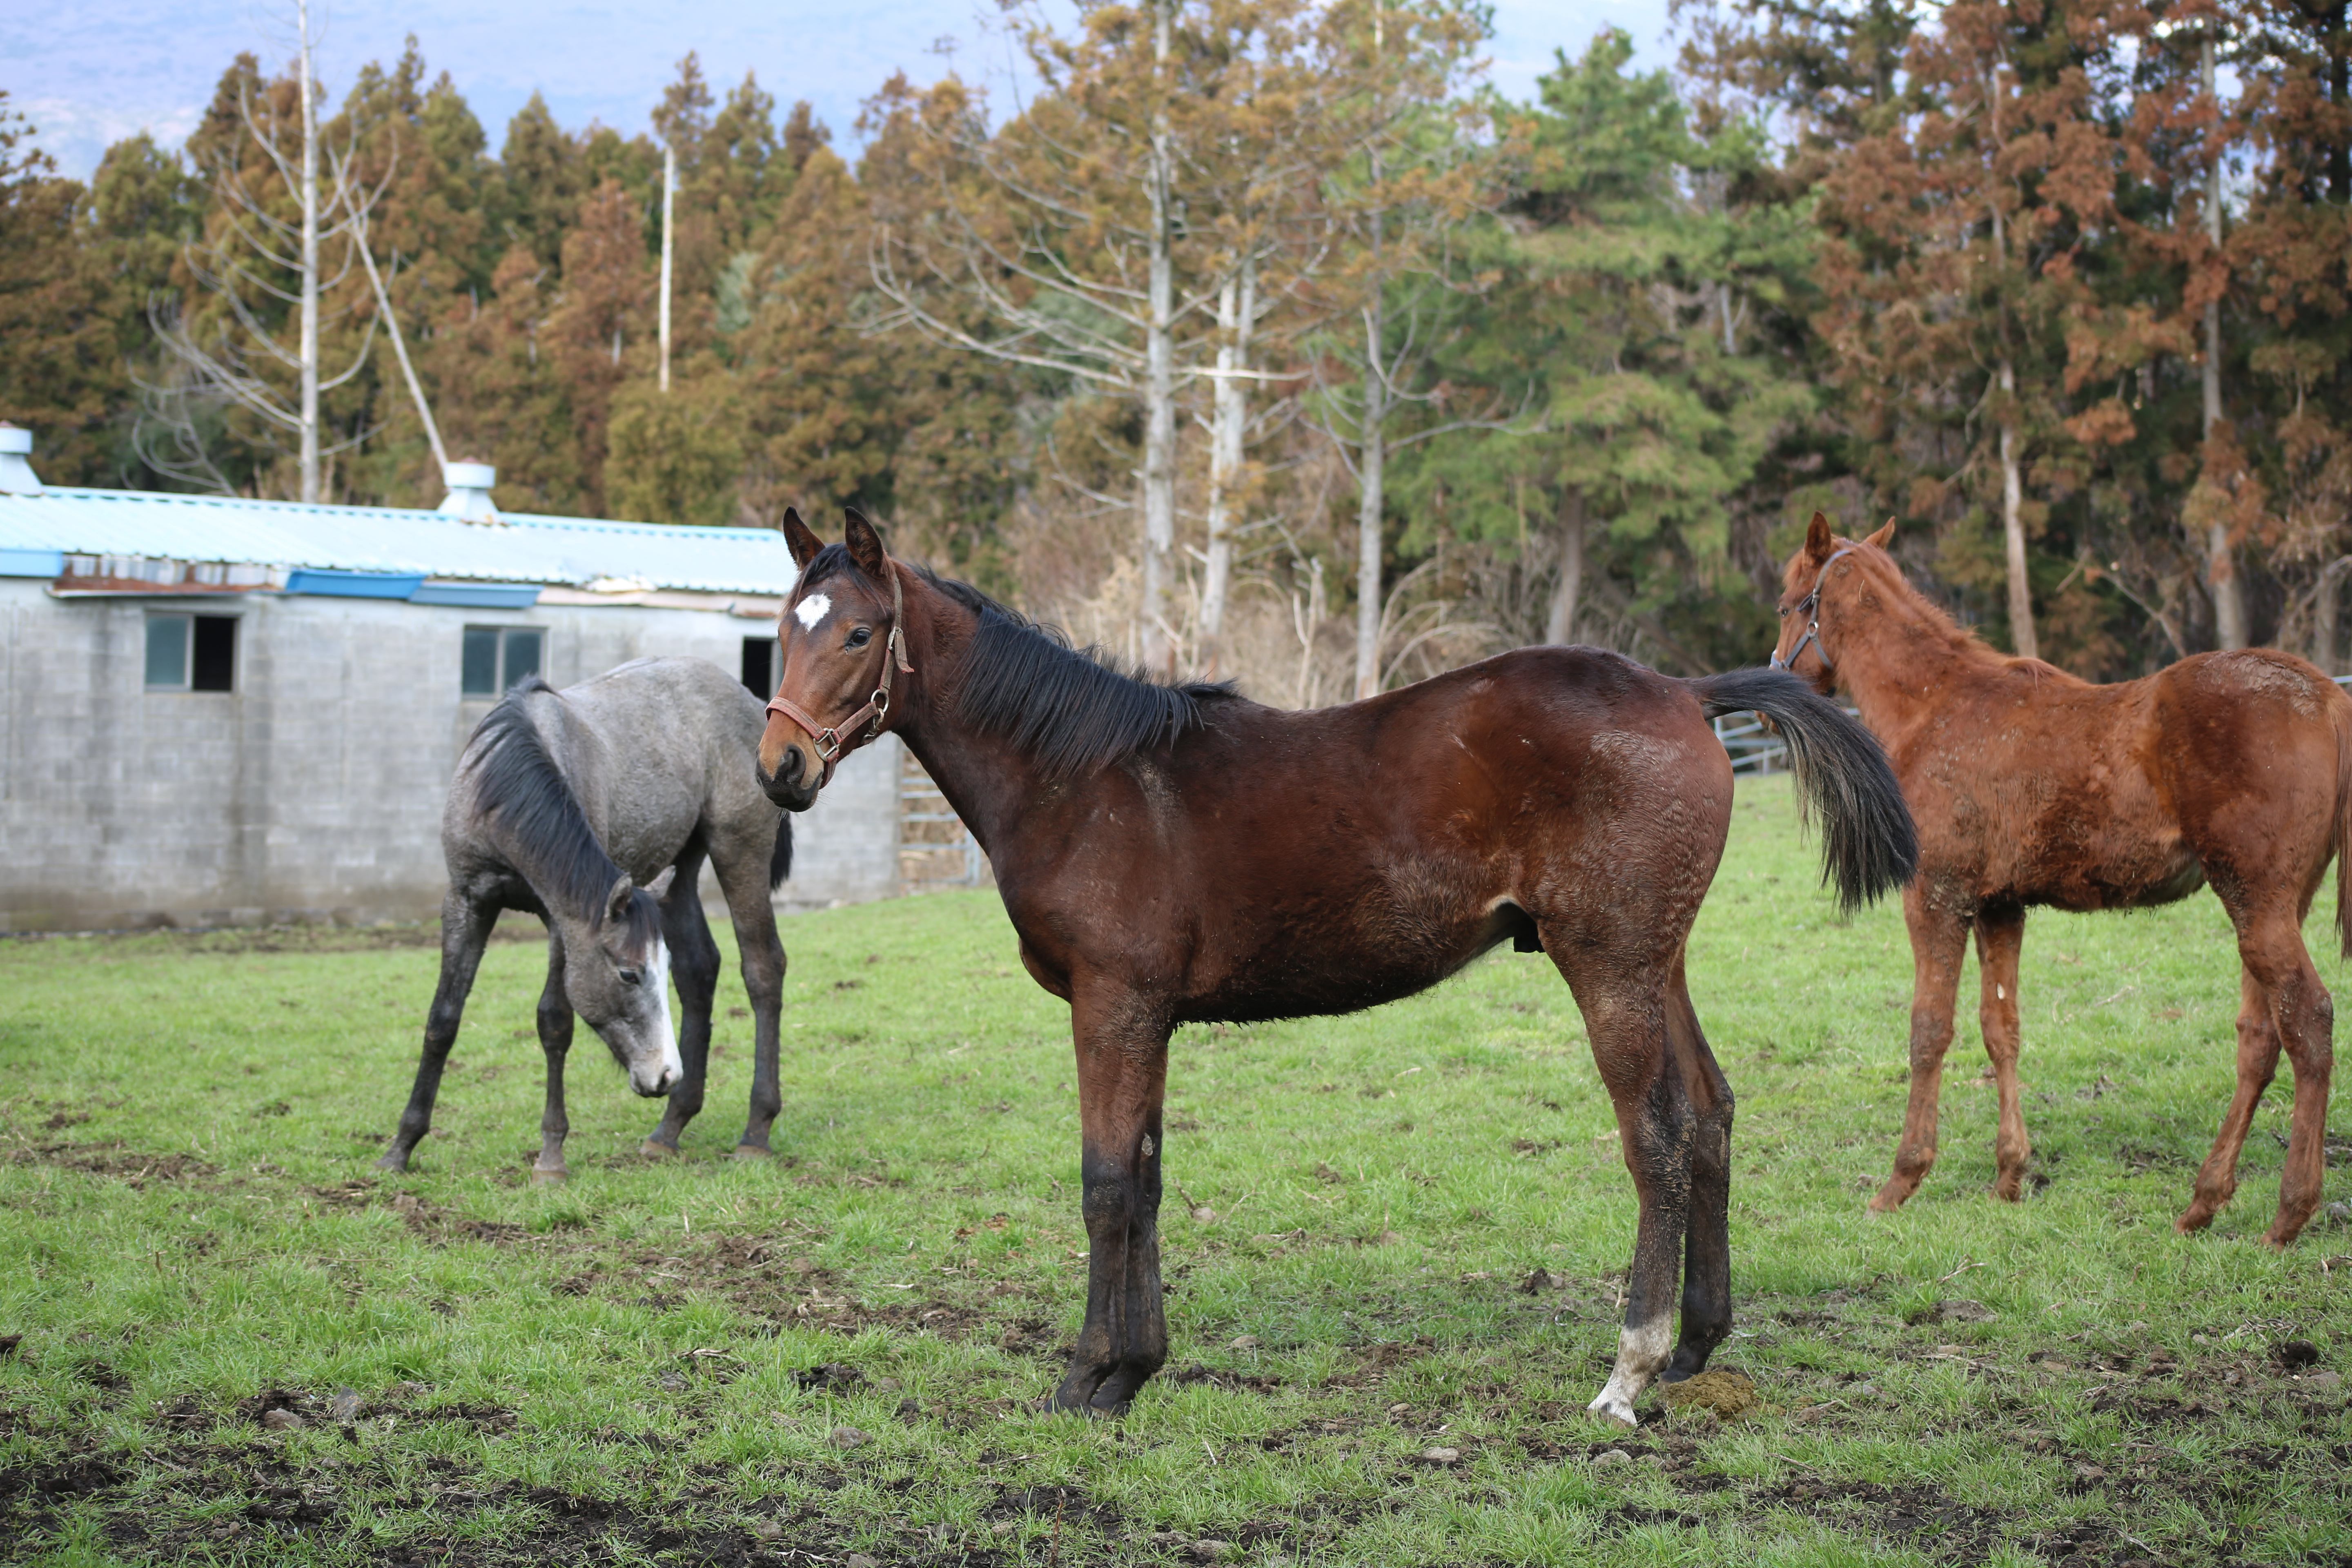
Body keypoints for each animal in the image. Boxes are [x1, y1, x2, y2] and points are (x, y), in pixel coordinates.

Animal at [376, 658, 795, 1185]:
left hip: (739, 849)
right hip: (680, 868)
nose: (665, 1074)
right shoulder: (466, 902)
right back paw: (670, 1127)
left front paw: (551, 1156)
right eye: (629, 975)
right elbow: (442, 1021)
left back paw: (756, 1131)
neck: (503, 790)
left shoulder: (564, 921)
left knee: (762, 969)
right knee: (699, 970)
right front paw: (401, 1147)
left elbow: (555, 1023)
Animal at [762, 510, 1919, 1429]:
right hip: (1657, 961)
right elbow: (1147, 1178)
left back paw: (1627, 1370)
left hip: (1610, 967)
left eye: (858, 632)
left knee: (1658, 1139)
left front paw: (1085, 1377)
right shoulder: (1150, 1016)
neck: (1082, 778)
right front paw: (1136, 1369)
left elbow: (1104, 1184)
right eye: (779, 630)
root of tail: (1684, 691)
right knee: (1713, 1113)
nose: (780, 768)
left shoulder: (1112, 1005)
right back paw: (1693, 1346)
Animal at [1768, 522, 2342, 1241]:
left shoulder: (1936, 898)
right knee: (2262, 1039)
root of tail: (2328, 697)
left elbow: (1930, 1030)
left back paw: (2289, 1215)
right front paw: (2010, 1176)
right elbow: (2000, 1029)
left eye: (1787, 605)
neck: (1934, 708)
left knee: (2310, 1022)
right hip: (2275, 906)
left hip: (2257, 903)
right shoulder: (1999, 906)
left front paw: (1901, 1181)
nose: (1771, 688)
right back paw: (2203, 1202)